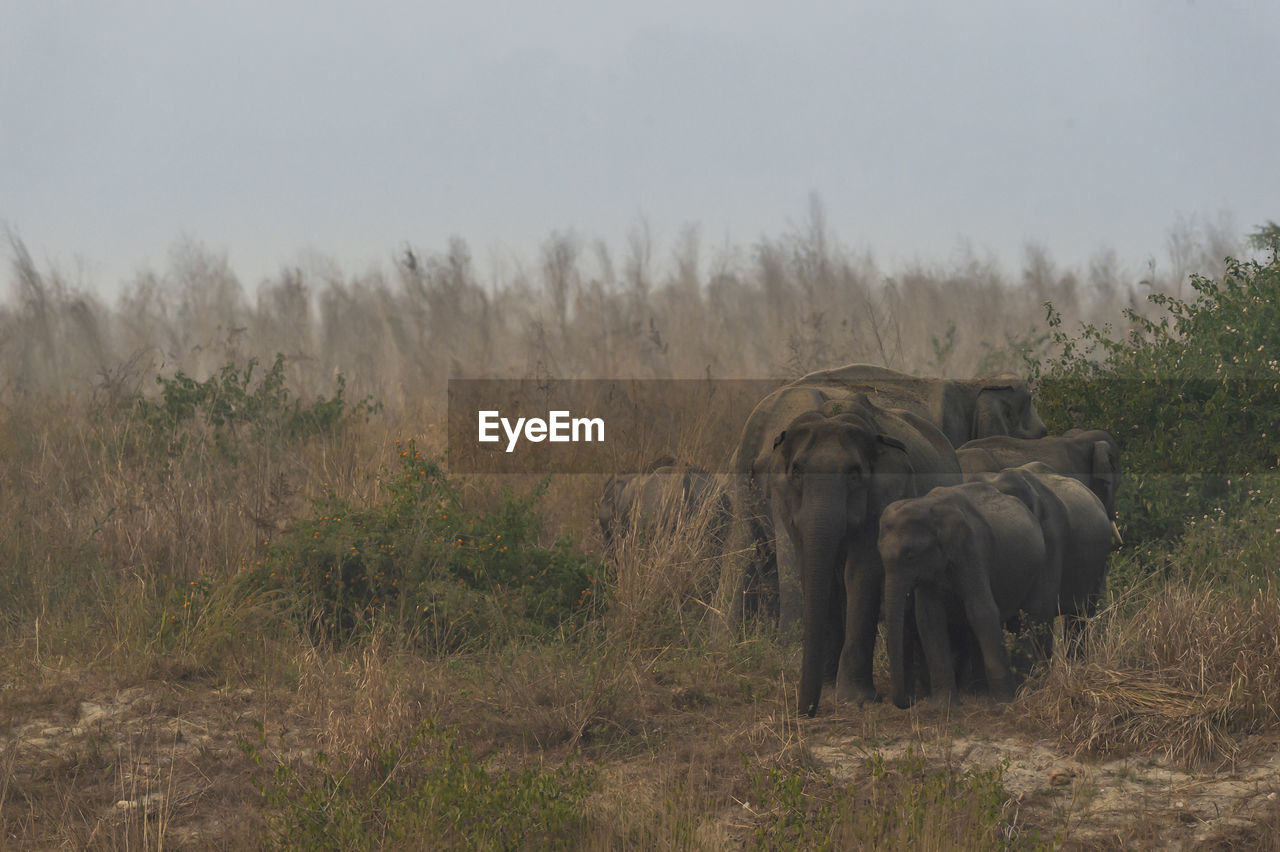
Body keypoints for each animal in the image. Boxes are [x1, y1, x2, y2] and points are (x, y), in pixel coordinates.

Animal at [732, 394, 962, 711]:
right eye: (797, 472)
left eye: (854, 474)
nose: (807, 710)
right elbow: (815, 570)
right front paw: (830, 690)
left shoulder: (881, 499)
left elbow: (860, 572)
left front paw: (856, 700)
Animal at [875, 481, 1054, 706]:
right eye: (880, 554)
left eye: (910, 555)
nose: (910, 701)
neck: (927, 505)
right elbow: (929, 618)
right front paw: (942, 706)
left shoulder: (971, 549)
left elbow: (982, 611)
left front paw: (1003, 702)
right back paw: (982, 690)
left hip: (1038, 568)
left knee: (1028, 618)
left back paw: (1025, 685)